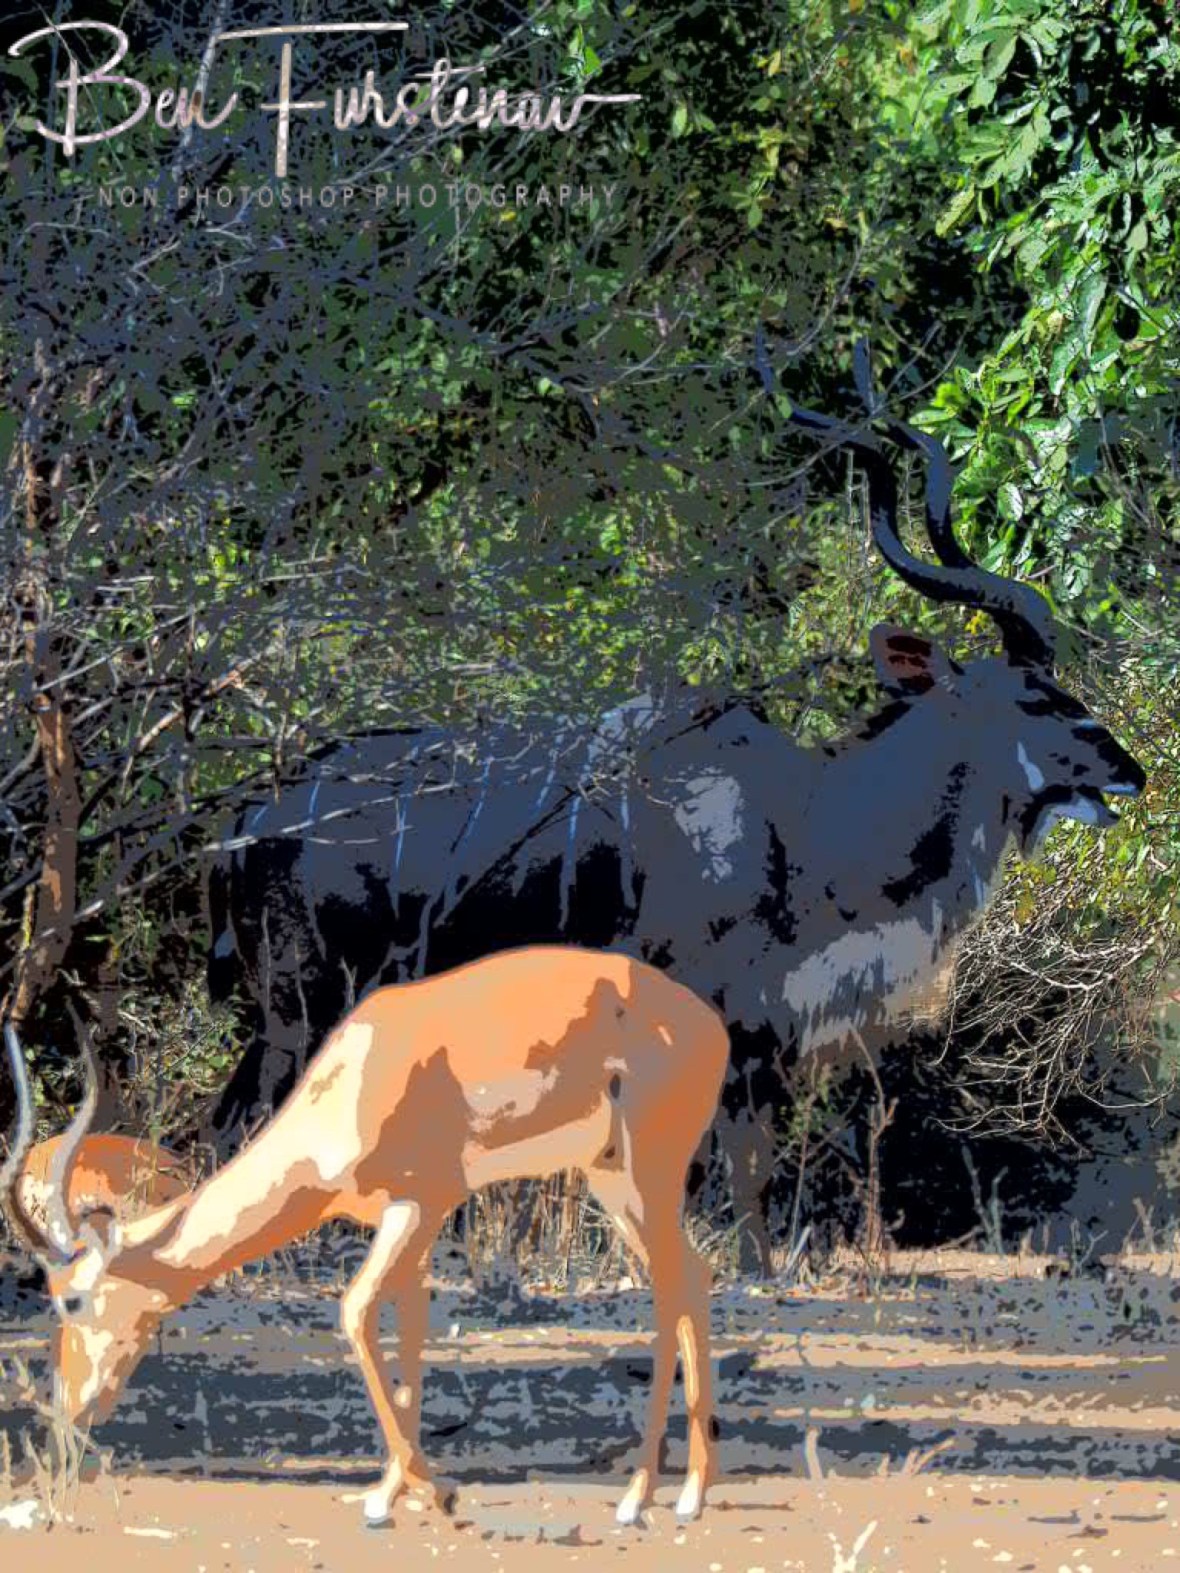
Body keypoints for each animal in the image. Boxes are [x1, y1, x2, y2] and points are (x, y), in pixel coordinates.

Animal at [0, 946, 730, 1526]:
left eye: (70, 1299)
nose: (66, 1409)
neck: (355, 1075)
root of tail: (711, 1025)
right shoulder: (409, 1221)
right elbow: (409, 1335)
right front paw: (391, 1490)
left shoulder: (416, 1206)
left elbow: (355, 1312)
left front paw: (432, 1493)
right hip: (612, 1180)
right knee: (694, 1277)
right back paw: (692, 1491)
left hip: (646, 1175)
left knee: (672, 1289)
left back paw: (641, 1496)